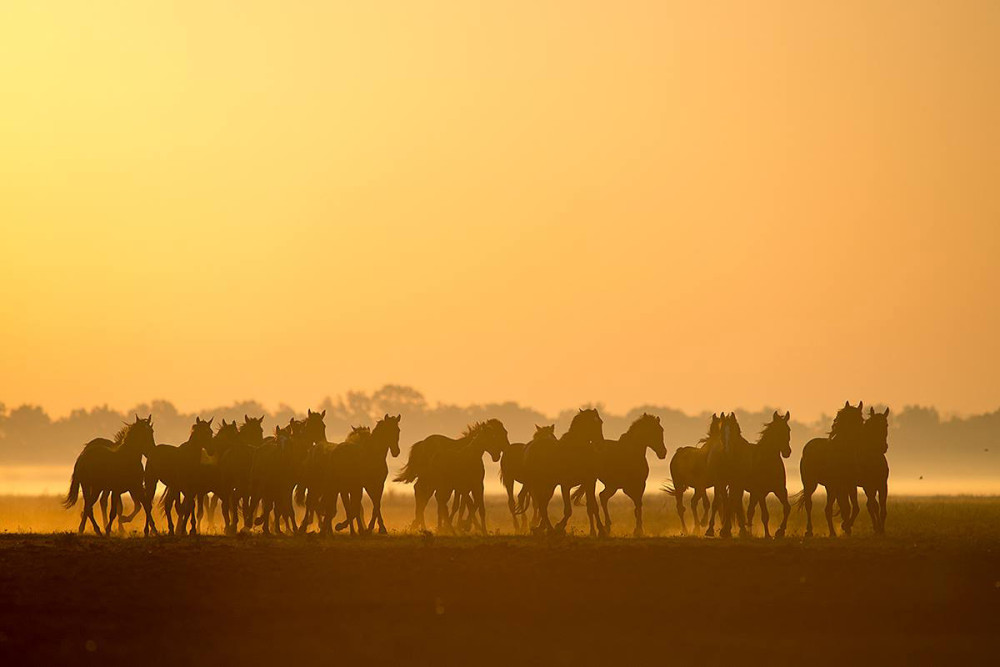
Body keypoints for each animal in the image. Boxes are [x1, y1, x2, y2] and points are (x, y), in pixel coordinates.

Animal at [520, 408, 604, 536]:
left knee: (542, 504)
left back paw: (543, 528)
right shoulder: (565, 485)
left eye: (600, 422)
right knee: (541, 505)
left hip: (548, 485)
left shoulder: (590, 482)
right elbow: (568, 510)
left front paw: (601, 531)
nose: (600, 444)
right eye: (590, 423)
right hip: (539, 484)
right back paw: (548, 529)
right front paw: (559, 527)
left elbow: (593, 507)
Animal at [748, 410, 792, 540]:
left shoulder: (780, 489)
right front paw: (768, 535)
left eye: (788, 430)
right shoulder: (760, 492)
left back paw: (748, 533)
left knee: (750, 511)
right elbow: (765, 515)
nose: (787, 452)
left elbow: (787, 508)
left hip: (754, 493)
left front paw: (780, 532)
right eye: (777, 431)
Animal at [796, 402, 868, 536]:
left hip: (830, 488)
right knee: (809, 504)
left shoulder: (851, 485)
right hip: (810, 484)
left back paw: (833, 532)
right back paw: (810, 531)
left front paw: (847, 527)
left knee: (828, 509)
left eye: (861, 420)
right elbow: (846, 508)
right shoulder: (840, 486)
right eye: (850, 421)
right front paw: (845, 526)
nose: (860, 440)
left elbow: (854, 508)